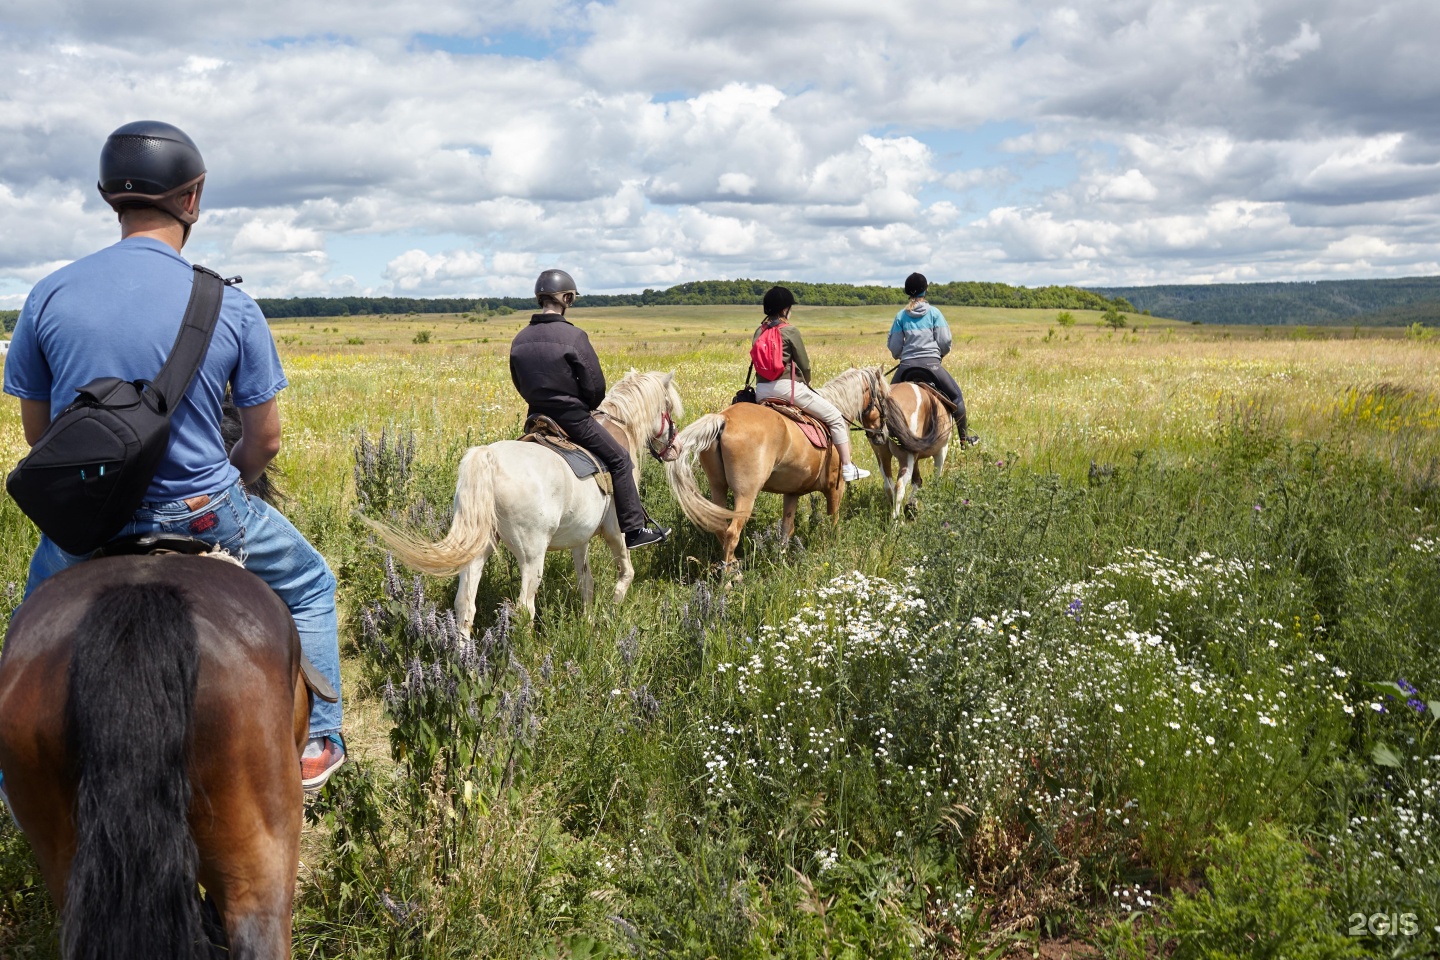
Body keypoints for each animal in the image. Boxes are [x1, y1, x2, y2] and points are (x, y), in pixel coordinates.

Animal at [371, 371, 685, 633]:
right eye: (669, 407)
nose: (676, 449)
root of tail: (489, 457)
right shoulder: (615, 531)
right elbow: (625, 573)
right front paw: (611, 613)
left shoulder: (580, 537)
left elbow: (586, 582)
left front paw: (588, 619)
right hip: (532, 554)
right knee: (524, 609)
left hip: (479, 548)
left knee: (465, 604)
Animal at [659, 365, 910, 564]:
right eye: (884, 398)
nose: (882, 435)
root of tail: (723, 419)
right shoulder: (835, 488)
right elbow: (833, 521)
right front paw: (834, 548)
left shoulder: (792, 493)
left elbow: (786, 531)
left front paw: (780, 561)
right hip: (746, 494)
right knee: (732, 533)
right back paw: (729, 582)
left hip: (718, 488)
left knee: (720, 527)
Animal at [864, 379, 956, 521]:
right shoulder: (941, 450)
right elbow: (935, 479)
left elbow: (916, 481)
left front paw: (911, 507)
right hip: (909, 456)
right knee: (899, 486)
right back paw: (896, 522)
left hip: (882, 454)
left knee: (889, 486)